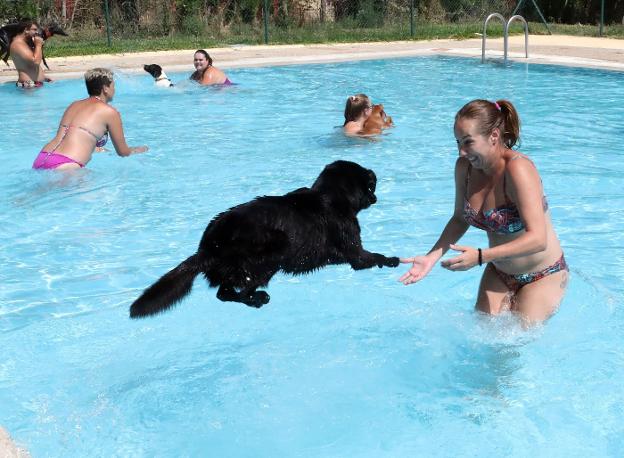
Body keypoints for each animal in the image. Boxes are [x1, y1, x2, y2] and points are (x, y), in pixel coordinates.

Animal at [130, 161, 400, 318]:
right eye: (370, 185)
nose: (376, 193)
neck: (330, 195)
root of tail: (208, 247)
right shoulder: (354, 249)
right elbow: (370, 257)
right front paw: (392, 259)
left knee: (224, 293)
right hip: (275, 248)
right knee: (235, 291)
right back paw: (258, 299)